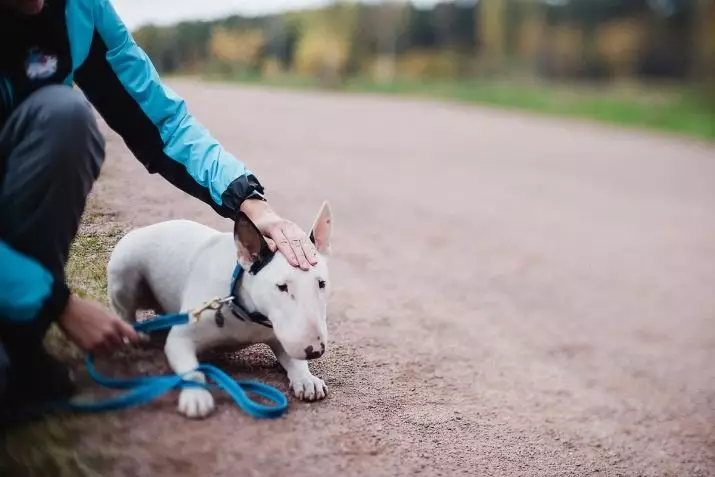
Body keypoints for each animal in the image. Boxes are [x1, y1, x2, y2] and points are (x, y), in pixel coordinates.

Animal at [105, 201, 334, 416]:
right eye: (282, 287)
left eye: (322, 283)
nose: (315, 350)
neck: (243, 309)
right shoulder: (180, 340)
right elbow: (194, 371)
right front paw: (196, 396)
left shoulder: (278, 335)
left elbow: (295, 361)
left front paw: (307, 379)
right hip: (125, 269)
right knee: (123, 310)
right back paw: (133, 333)